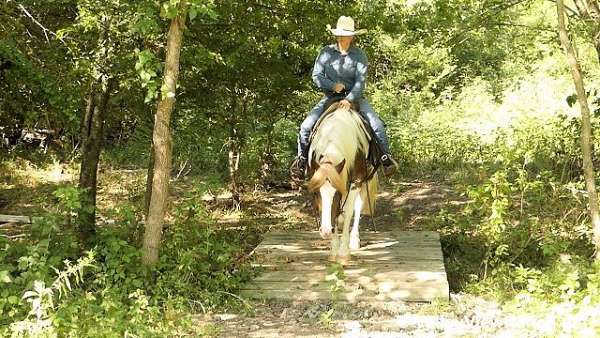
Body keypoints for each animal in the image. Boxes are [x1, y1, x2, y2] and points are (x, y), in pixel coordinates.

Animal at [308, 101, 378, 262]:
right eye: (316, 193)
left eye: (337, 193)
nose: (325, 231)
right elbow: (335, 215)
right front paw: (334, 250)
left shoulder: (356, 181)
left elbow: (348, 212)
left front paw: (344, 252)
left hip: (365, 181)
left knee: (357, 207)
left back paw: (354, 240)